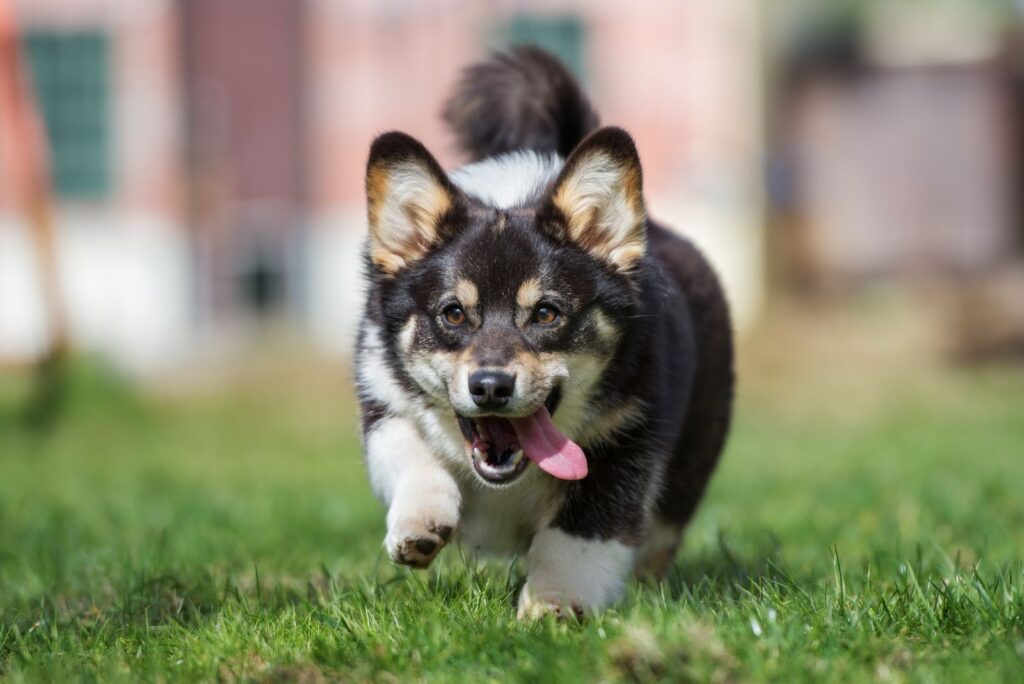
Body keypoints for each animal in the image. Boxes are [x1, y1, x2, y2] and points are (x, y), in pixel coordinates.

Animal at [356, 45, 733, 618]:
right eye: (452, 314)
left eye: (548, 314)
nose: (490, 388)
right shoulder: (383, 400)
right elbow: (411, 451)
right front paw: (420, 526)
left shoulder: (626, 442)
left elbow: (579, 536)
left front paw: (552, 608)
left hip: (690, 463)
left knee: (661, 533)